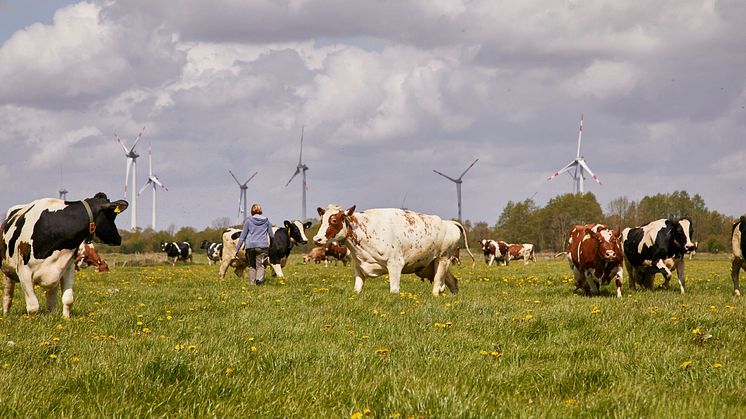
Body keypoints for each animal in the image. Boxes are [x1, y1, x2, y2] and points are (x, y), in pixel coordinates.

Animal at [310, 205, 474, 296]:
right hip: (432, 265)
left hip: (443, 260)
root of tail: (448, 223)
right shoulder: (359, 267)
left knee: (437, 287)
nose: (317, 239)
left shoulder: (395, 265)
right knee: (452, 282)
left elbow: (394, 290)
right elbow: (356, 290)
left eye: (334, 220)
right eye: (322, 220)